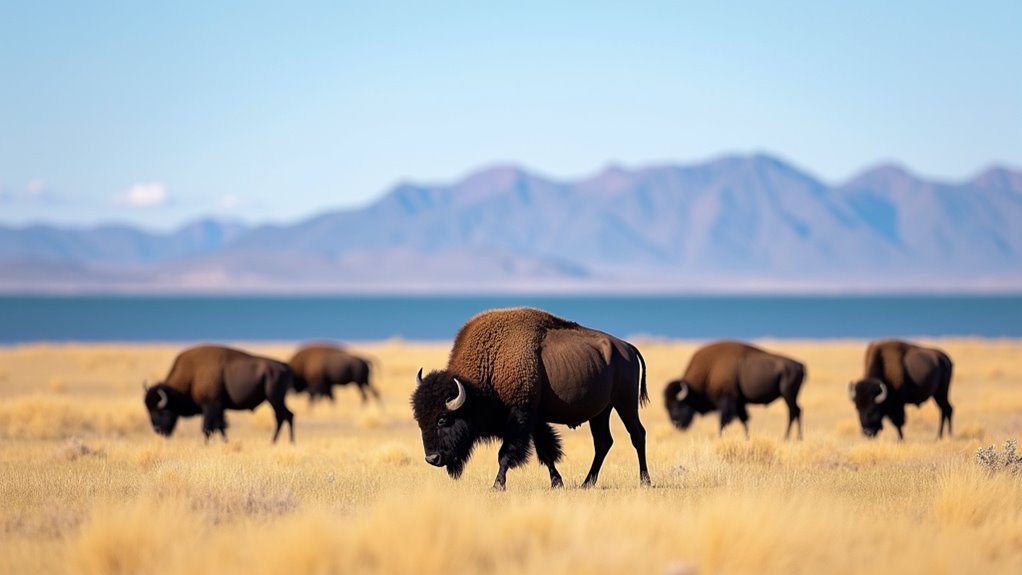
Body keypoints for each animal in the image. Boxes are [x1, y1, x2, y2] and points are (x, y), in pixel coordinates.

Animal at [143, 345, 295, 443]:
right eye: (149, 410)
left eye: (162, 411)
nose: (158, 430)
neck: (192, 375)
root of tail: (285, 366)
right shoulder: (219, 408)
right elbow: (220, 426)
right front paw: (225, 442)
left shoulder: (211, 406)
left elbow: (208, 428)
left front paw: (205, 445)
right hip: (276, 400)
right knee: (286, 416)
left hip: (274, 399)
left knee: (283, 416)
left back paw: (278, 442)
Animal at [411, 307, 651, 490]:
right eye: (419, 420)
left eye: (443, 419)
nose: (432, 459)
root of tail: (627, 347)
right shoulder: (536, 420)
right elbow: (546, 451)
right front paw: (557, 482)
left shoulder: (520, 417)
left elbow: (506, 453)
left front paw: (497, 485)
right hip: (601, 412)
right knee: (603, 442)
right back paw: (587, 483)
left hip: (625, 404)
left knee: (637, 435)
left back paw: (645, 481)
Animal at [663, 340, 806, 439]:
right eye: (667, 407)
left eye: (677, 405)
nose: (676, 424)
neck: (709, 370)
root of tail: (799, 365)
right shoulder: (739, 403)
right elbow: (744, 420)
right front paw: (747, 438)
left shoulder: (727, 402)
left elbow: (723, 422)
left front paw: (720, 438)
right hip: (792, 396)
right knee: (798, 411)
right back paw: (798, 438)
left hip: (788, 395)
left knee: (792, 412)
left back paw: (787, 438)